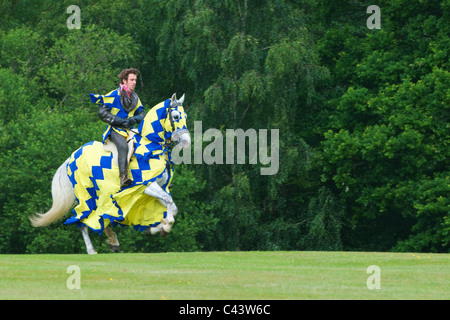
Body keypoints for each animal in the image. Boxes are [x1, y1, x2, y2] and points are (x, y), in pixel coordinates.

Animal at [28, 93, 190, 255]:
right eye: (176, 116)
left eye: (185, 116)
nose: (187, 141)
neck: (151, 147)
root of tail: (73, 156)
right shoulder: (146, 185)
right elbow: (169, 202)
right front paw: (165, 226)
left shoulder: (160, 187)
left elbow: (172, 207)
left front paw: (156, 228)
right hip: (85, 193)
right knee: (83, 219)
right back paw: (92, 250)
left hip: (101, 194)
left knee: (100, 214)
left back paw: (113, 241)